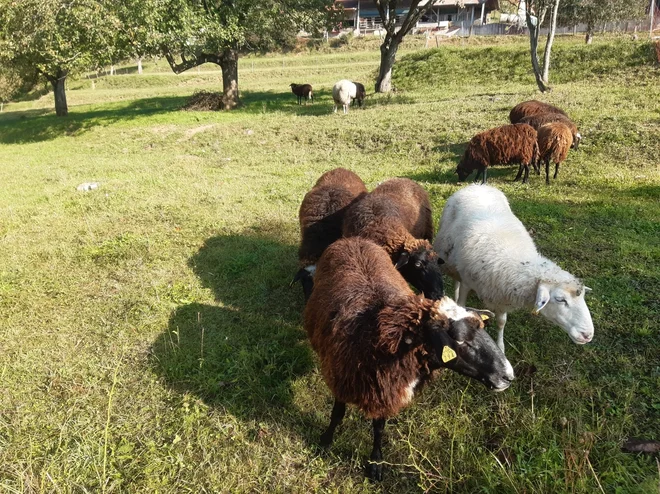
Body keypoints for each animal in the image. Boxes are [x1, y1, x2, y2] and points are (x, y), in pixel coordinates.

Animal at [304, 237, 516, 480]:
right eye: (459, 339)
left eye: (482, 329)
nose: (508, 375)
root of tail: (354, 240)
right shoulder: (342, 377)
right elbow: (337, 414)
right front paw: (325, 442)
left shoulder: (387, 387)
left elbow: (379, 427)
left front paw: (376, 462)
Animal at [434, 183, 592, 354]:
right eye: (560, 299)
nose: (587, 335)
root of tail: (478, 185)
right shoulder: (467, 282)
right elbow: (462, 305)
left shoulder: (501, 296)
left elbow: (501, 322)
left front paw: (500, 347)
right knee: (456, 280)